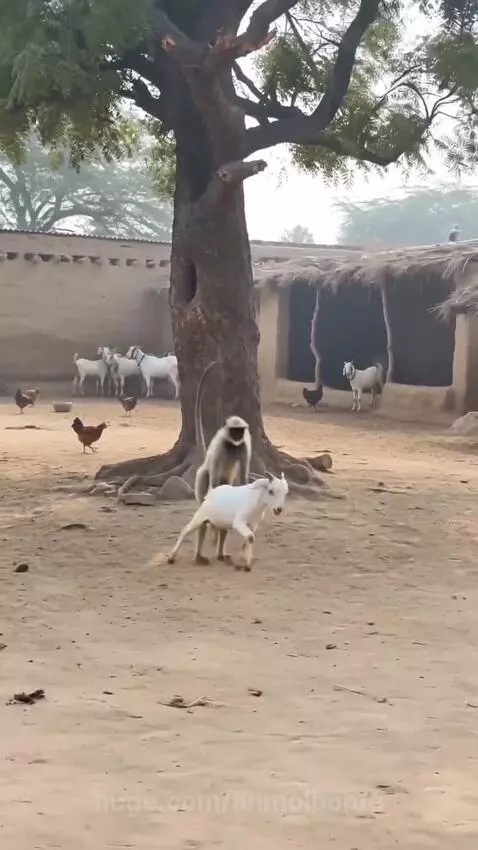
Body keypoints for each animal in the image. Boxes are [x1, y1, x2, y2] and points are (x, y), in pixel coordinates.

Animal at [192, 361, 252, 565]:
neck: (232, 444)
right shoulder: (220, 444)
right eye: (233, 430)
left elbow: (244, 473)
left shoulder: (244, 445)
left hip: (227, 483)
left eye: (240, 431)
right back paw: (200, 554)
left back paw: (219, 553)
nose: (237, 436)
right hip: (202, 478)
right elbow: (215, 466)